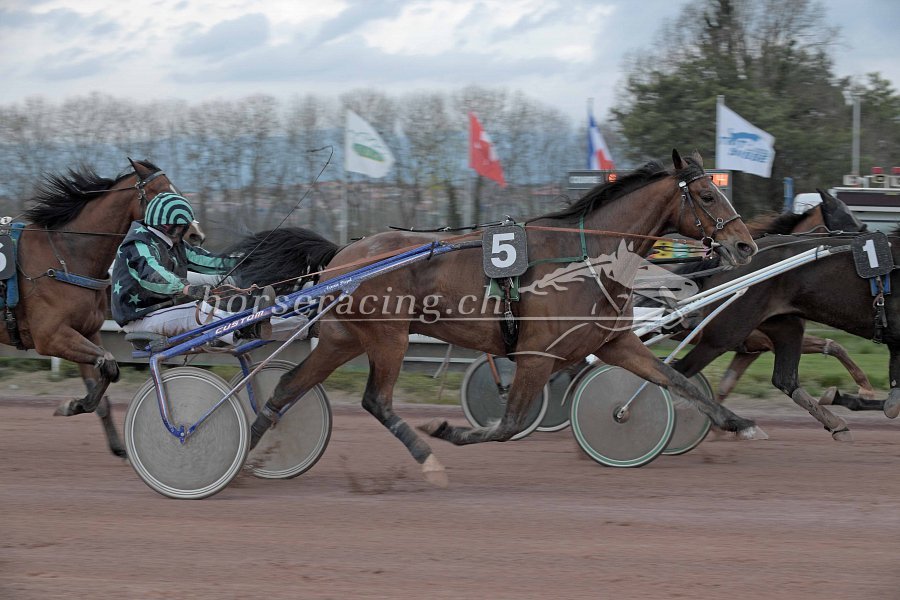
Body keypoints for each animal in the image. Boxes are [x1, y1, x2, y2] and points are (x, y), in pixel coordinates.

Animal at [6, 159, 180, 457]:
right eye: (160, 192)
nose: (193, 231)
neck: (66, 257)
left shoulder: (86, 332)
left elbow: (105, 376)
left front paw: (116, 443)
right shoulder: (50, 337)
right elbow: (109, 365)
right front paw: (72, 405)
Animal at [244, 150, 763, 486]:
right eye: (707, 196)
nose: (746, 245)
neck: (586, 257)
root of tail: (343, 255)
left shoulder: (616, 342)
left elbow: (678, 381)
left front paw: (738, 423)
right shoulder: (536, 355)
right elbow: (508, 425)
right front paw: (447, 431)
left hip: (342, 338)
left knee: (288, 386)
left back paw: (247, 454)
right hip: (389, 338)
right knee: (377, 400)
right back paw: (426, 457)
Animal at [670, 228, 900, 441]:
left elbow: (892, 404)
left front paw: (841, 396)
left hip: (786, 326)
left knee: (785, 380)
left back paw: (835, 423)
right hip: (726, 333)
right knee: (679, 371)